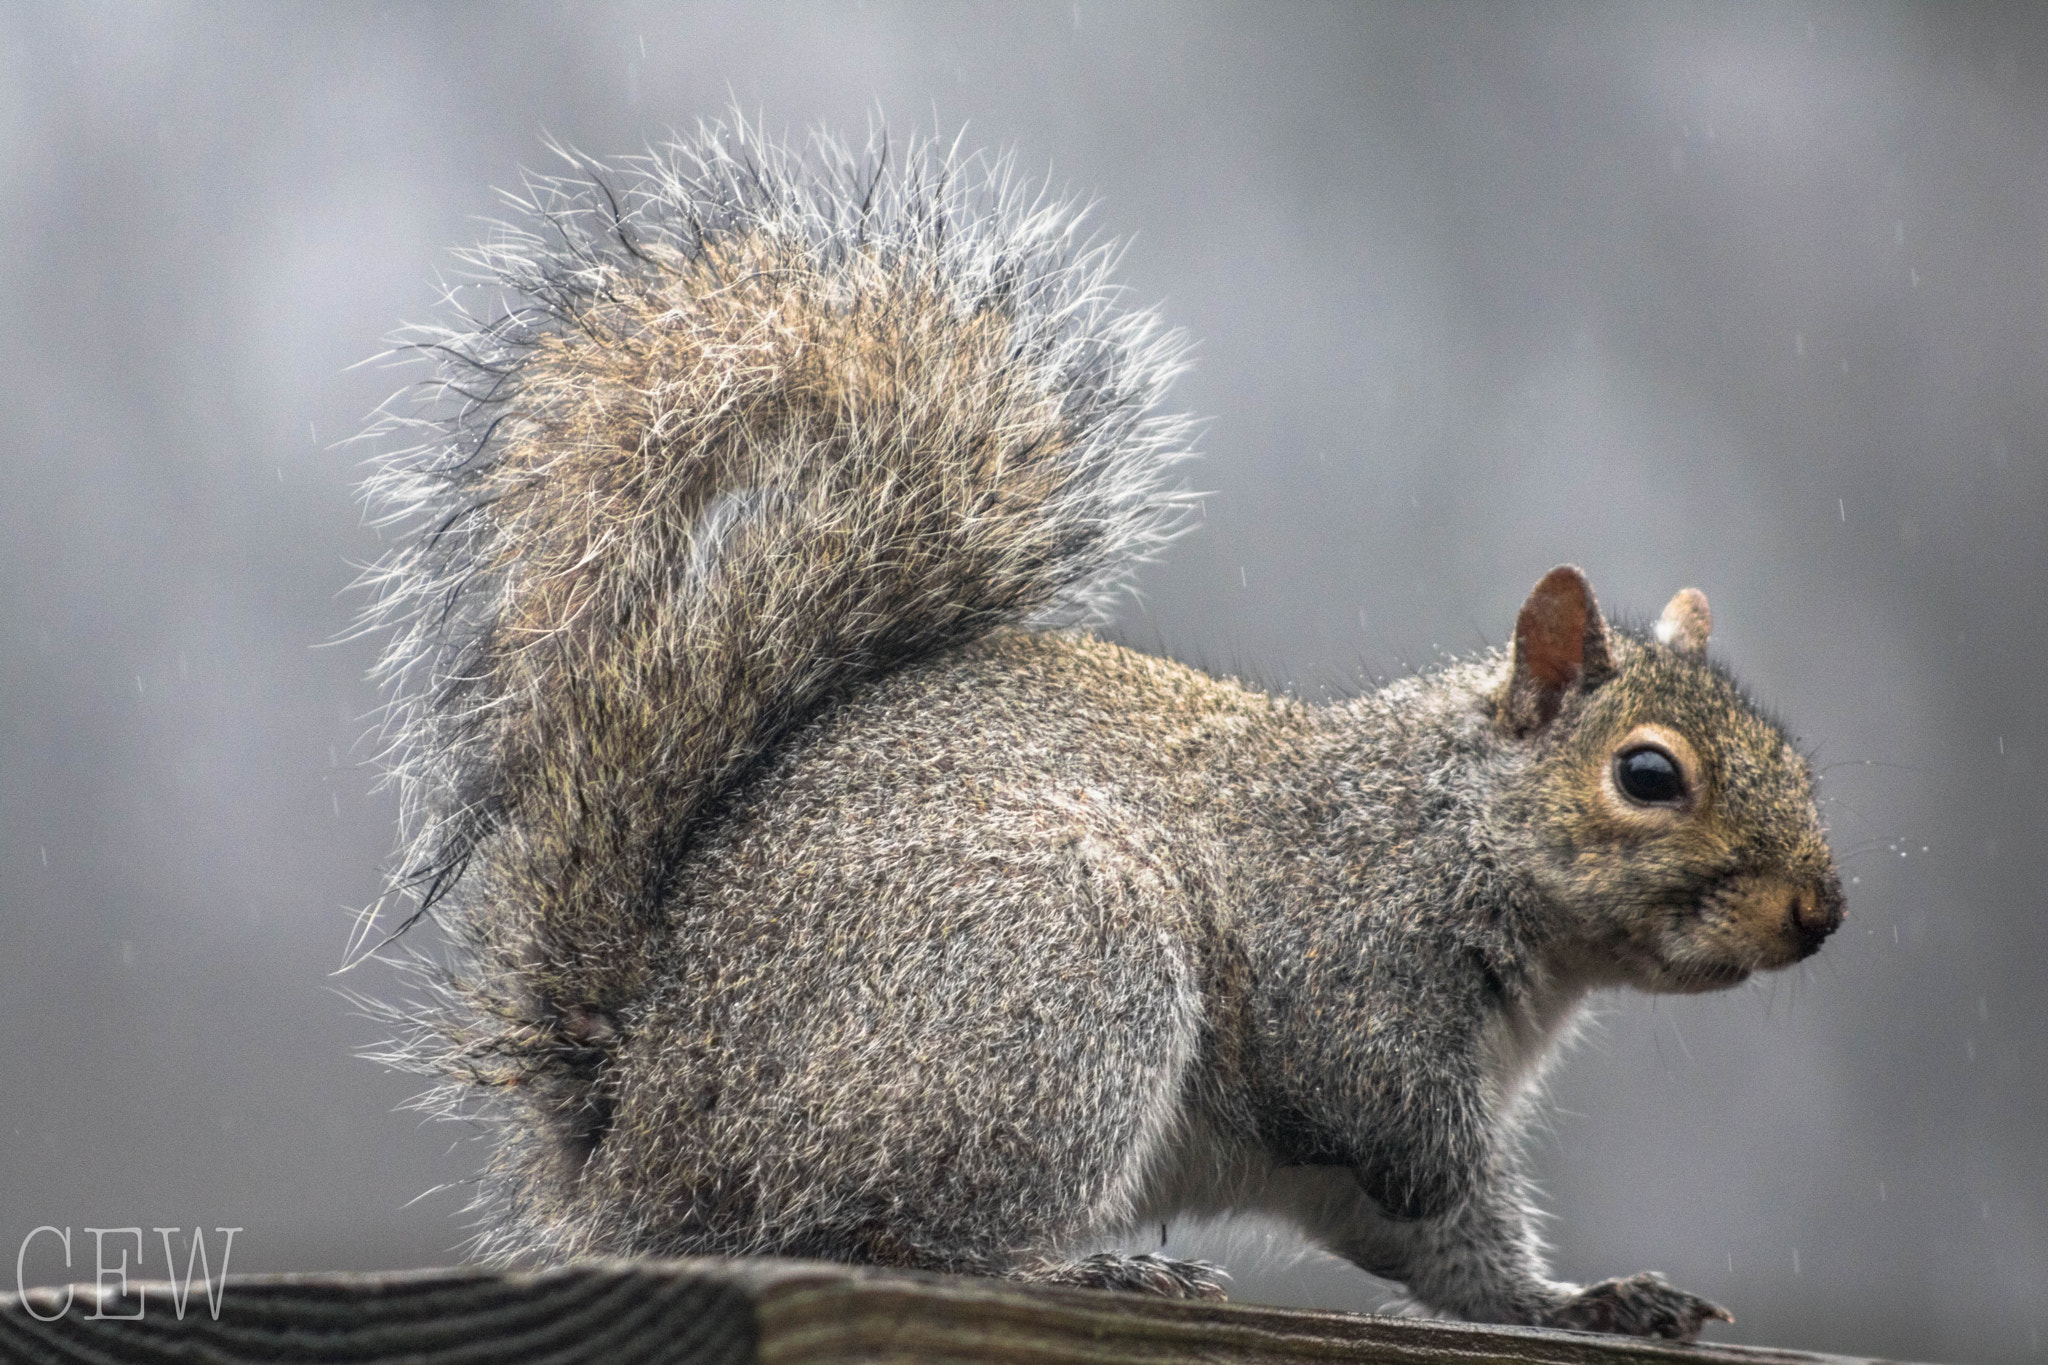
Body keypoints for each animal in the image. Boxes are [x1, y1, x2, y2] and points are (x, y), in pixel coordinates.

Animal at [360, 120, 1851, 1342]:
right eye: (1646, 774)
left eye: (1793, 760)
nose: (1817, 913)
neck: (1447, 825)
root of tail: (632, 1152)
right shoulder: (1353, 975)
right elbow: (1389, 1123)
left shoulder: (1376, 1159)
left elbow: (1454, 1254)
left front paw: (1586, 1300)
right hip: (1055, 974)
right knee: (884, 1233)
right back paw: (1084, 1268)